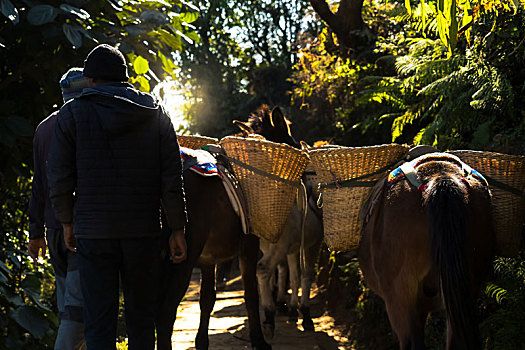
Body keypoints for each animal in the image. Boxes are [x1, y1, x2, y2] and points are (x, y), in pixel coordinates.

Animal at [156, 104, 298, 350]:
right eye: (287, 135)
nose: (299, 146)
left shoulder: (207, 259)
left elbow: (207, 299)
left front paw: (201, 342)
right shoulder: (248, 247)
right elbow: (251, 295)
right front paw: (259, 340)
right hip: (182, 257)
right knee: (166, 311)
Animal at [233, 106, 324, 336]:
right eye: (290, 138)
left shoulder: (292, 248)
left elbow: (292, 274)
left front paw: (292, 309)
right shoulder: (311, 244)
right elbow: (306, 275)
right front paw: (305, 314)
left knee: (264, 272)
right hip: (278, 247)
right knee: (263, 269)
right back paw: (268, 316)